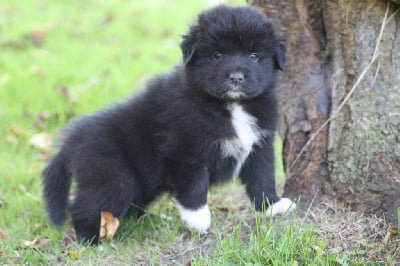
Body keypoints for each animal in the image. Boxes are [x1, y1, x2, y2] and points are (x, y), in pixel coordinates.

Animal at [42, 4, 296, 243]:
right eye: (217, 55)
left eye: (254, 55)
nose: (236, 78)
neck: (232, 106)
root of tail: (73, 140)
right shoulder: (184, 149)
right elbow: (195, 185)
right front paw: (198, 220)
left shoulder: (260, 144)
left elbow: (262, 177)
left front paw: (272, 206)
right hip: (112, 175)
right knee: (85, 206)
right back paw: (93, 240)